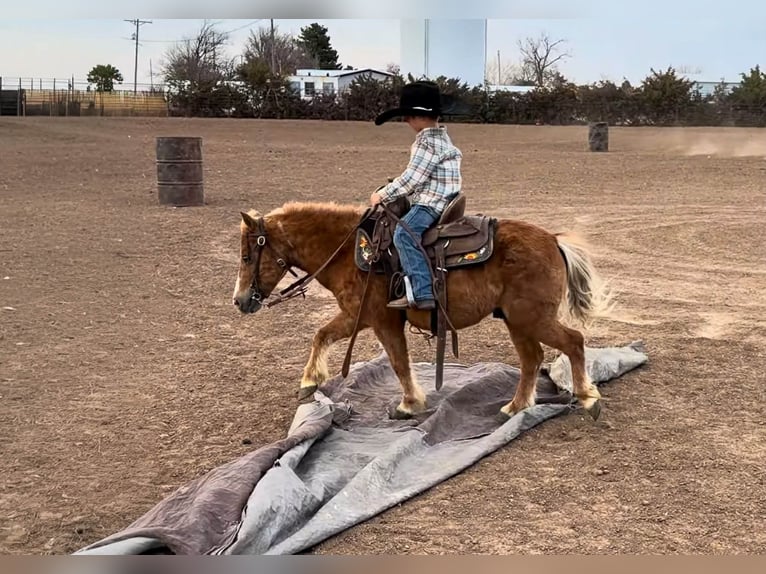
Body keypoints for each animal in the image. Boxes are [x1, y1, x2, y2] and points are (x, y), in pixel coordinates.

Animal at [231, 198, 614, 421]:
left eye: (248, 256)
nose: (239, 300)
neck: (350, 252)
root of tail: (553, 240)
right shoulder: (357, 316)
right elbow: (321, 335)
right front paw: (310, 381)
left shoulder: (382, 320)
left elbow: (399, 362)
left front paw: (410, 403)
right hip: (518, 321)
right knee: (532, 358)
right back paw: (516, 406)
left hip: (532, 317)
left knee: (573, 342)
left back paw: (586, 397)